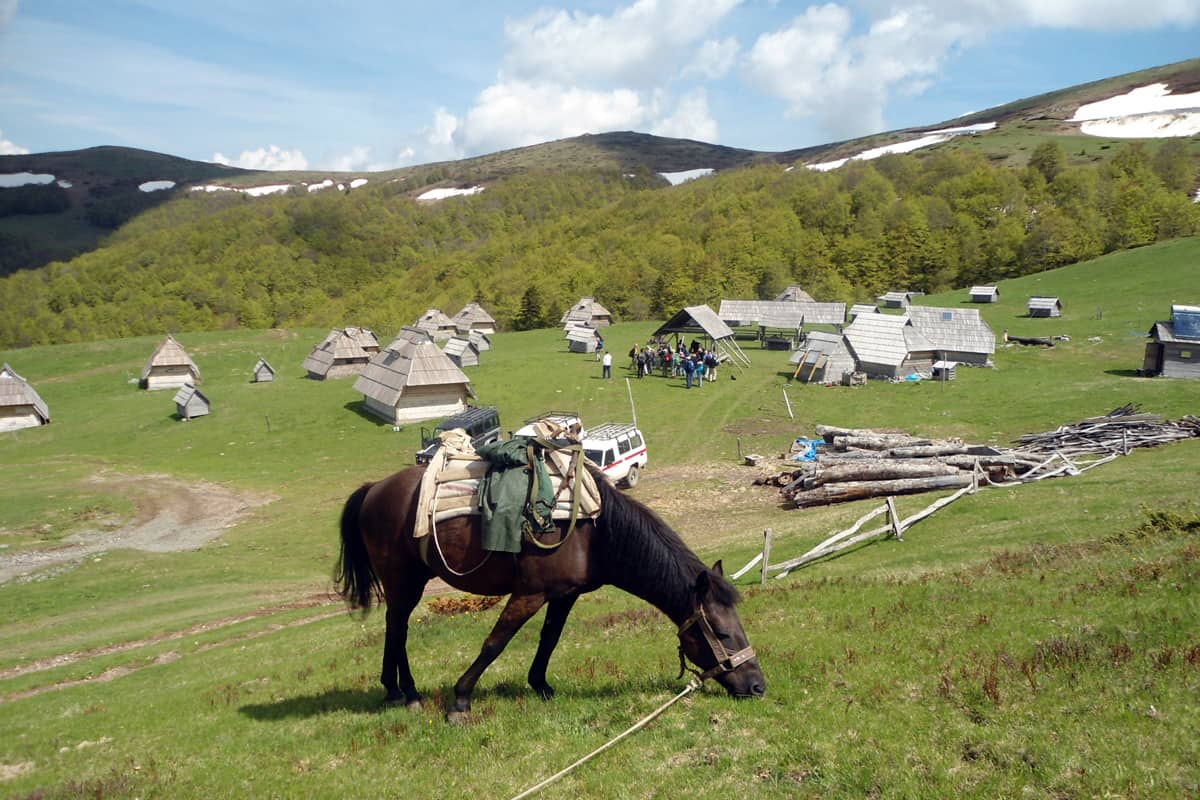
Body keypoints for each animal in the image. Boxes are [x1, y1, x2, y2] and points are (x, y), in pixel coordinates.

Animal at [334, 462, 766, 722]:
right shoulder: (529, 593)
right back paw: (405, 693)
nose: (757, 686)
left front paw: (540, 685)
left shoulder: (564, 594)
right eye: (723, 633)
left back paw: (397, 690)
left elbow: (550, 638)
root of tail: (374, 489)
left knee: (395, 627)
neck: (593, 531)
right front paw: (460, 699)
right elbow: (495, 643)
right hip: (402, 580)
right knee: (398, 628)